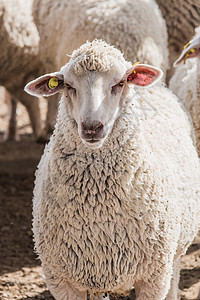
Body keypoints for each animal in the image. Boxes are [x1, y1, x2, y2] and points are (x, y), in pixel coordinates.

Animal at [24, 40, 200, 300]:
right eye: (68, 86)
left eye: (119, 83)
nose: (91, 127)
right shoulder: (64, 280)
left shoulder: (153, 278)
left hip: (173, 252)